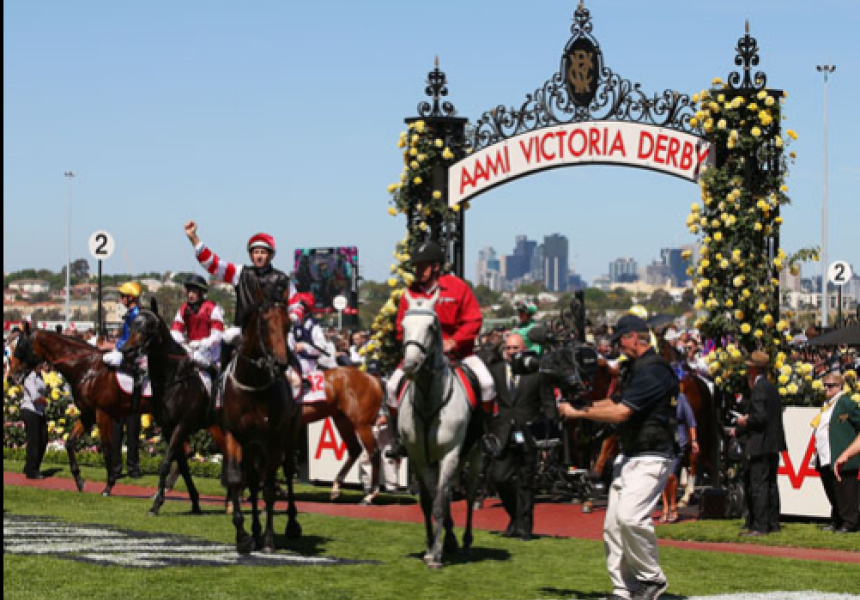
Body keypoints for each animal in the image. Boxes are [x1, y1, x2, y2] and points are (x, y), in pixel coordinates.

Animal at [122, 300, 228, 516]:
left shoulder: (182, 425)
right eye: (133, 325)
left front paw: (156, 504)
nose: (127, 351)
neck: (172, 381)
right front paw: (194, 502)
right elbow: (182, 465)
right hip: (218, 427)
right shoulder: (168, 428)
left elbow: (166, 463)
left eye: (149, 326)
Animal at [223, 282, 304, 552]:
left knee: (286, 473)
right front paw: (243, 536)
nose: (280, 364)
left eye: (288, 325)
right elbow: (237, 479)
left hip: (289, 436)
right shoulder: (235, 434)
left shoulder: (273, 438)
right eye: (265, 324)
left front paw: (268, 539)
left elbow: (269, 487)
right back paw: (256, 531)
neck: (253, 385)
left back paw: (291, 524)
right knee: (252, 479)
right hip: (253, 446)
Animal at [302, 368, 382, 504]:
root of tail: (372, 379)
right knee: (355, 449)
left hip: (361, 424)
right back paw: (336, 487)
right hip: (342, 420)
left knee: (373, 452)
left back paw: (370, 496)